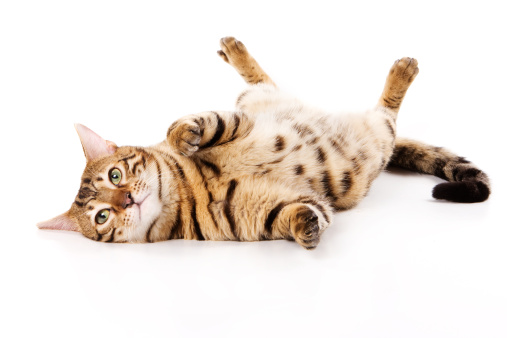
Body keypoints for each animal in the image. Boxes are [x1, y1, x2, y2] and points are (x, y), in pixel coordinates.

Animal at [37, 37, 490, 250]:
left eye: (116, 175)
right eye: (101, 217)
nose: (128, 200)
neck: (186, 194)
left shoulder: (239, 120)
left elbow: (201, 124)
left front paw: (182, 136)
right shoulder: (252, 217)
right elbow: (292, 214)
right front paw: (307, 225)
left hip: (275, 103)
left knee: (267, 81)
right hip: (376, 141)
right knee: (386, 114)